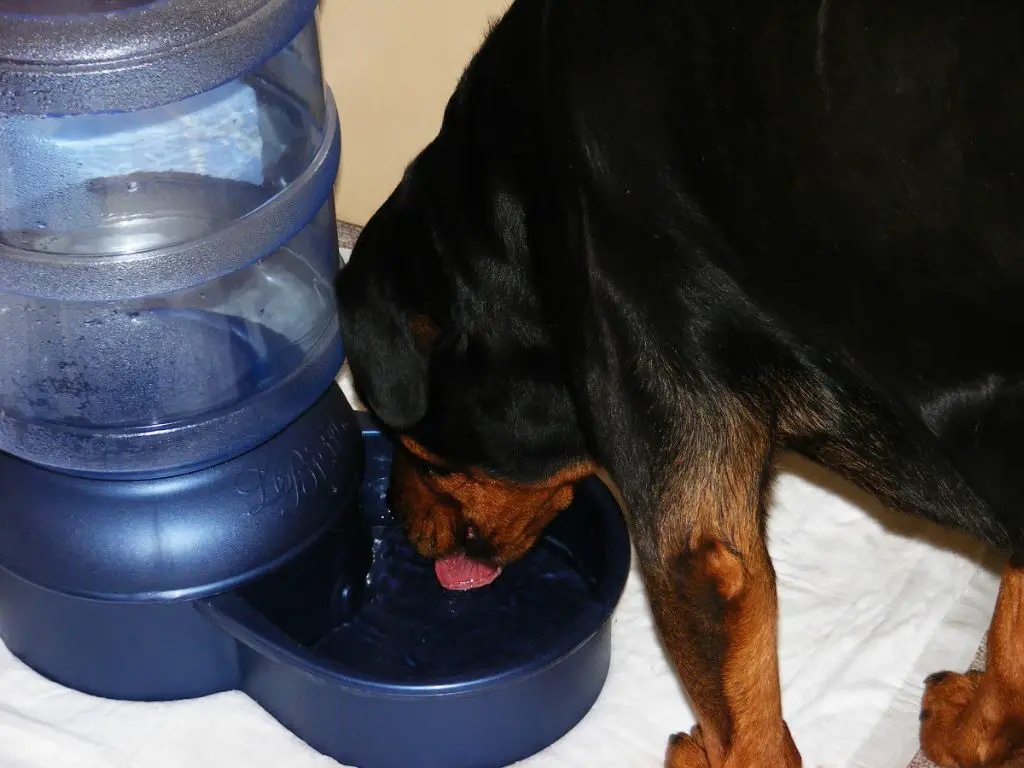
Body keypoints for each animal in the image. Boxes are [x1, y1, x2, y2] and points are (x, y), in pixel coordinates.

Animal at [339, 3, 1024, 765]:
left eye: (423, 455)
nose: (395, 519)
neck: (521, 203)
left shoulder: (694, 545)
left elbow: (750, 736)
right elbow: (1010, 637)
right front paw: (973, 737)